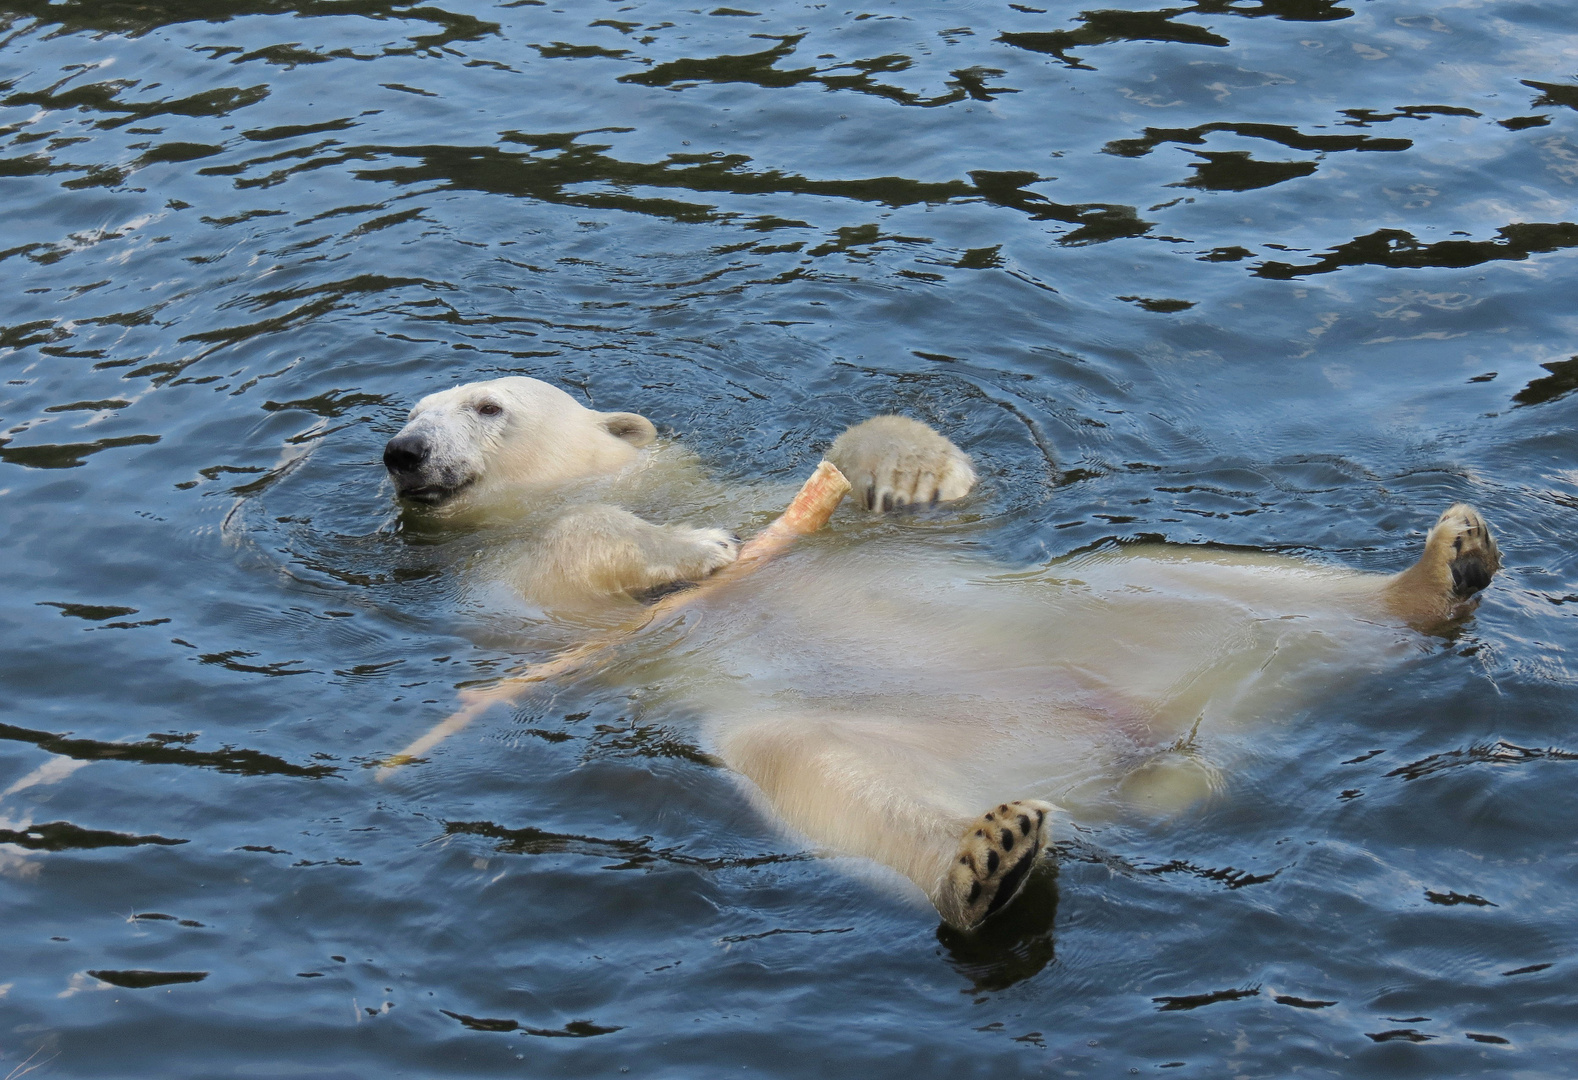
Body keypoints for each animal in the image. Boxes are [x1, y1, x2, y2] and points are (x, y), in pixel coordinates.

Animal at [385, 377, 1502, 928]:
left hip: (1116, 612)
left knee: (1232, 582)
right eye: (409, 415)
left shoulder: (740, 487)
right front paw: (690, 552)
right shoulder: (496, 591)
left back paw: (1444, 565)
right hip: (863, 727)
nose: (402, 450)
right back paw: (988, 860)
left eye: (485, 405)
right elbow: (563, 569)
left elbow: (896, 506)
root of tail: (1137, 760)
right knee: (831, 776)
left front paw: (912, 467)